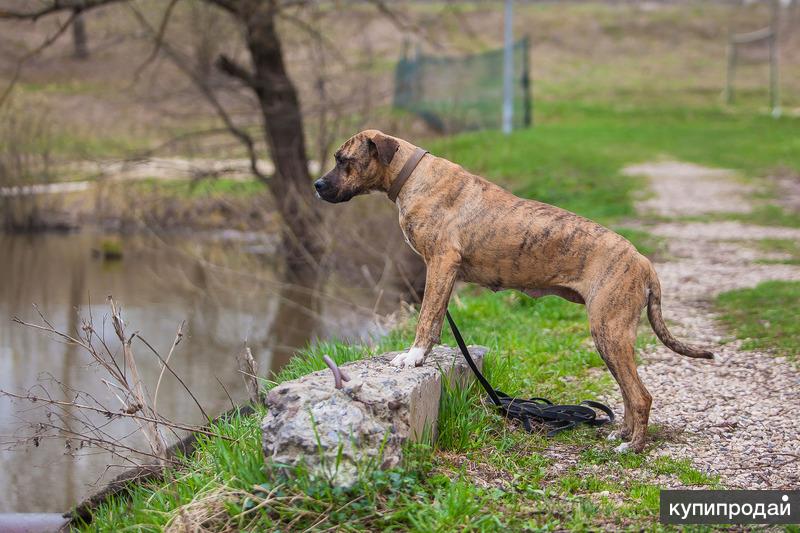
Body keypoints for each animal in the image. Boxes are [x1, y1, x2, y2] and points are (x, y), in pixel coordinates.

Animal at [312, 130, 712, 454]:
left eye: (343, 160)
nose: (317, 184)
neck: (412, 176)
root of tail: (642, 260)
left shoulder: (440, 265)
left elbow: (427, 318)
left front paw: (413, 357)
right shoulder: (442, 271)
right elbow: (436, 318)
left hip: (609, 331)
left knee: (640, 396)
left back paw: (633, 447)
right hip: (611, 338)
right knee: (629, 395)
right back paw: (623, 435)